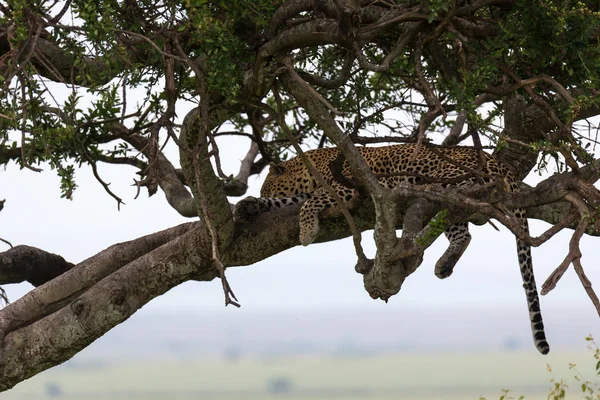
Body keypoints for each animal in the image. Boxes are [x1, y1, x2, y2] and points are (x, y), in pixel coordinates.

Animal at [232, 143, 552, 354]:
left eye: (268, 186)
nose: (259, 194)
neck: (312, 168)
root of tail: (503, 167)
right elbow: (289, 202)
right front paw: (249, 205)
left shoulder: (344, 188)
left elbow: (310, 202)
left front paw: (307, 230)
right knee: (462, 233)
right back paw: (444, 264)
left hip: (446, 179)